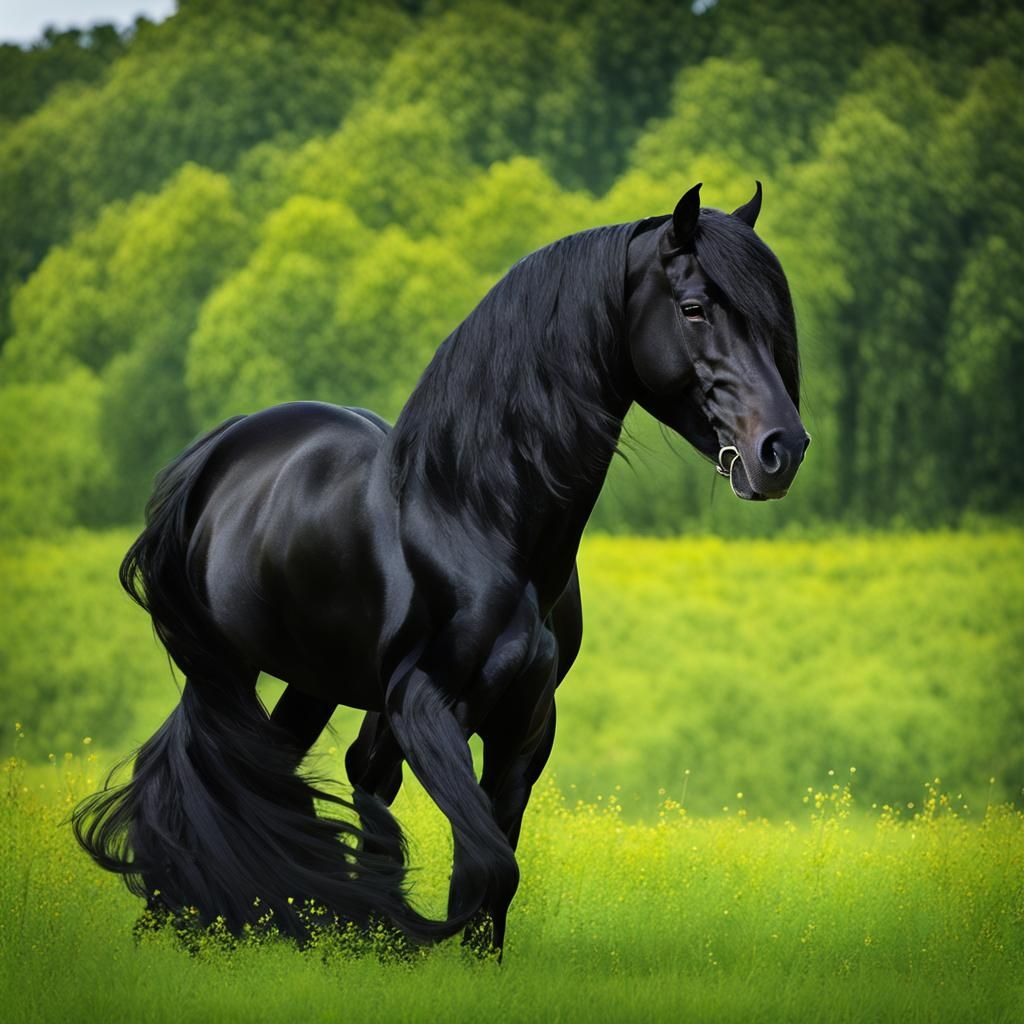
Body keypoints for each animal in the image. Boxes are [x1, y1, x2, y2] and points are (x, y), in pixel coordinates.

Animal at [73, 182, 808, 956]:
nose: (781, 450)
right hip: (223, 670)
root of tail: (216, 451)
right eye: (694, 309)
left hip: (314, 681)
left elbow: (485, 876)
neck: (477, 511)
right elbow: (484, 863)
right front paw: (388, 928)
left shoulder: (525, 724)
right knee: (208, 770)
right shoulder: (425, 702)